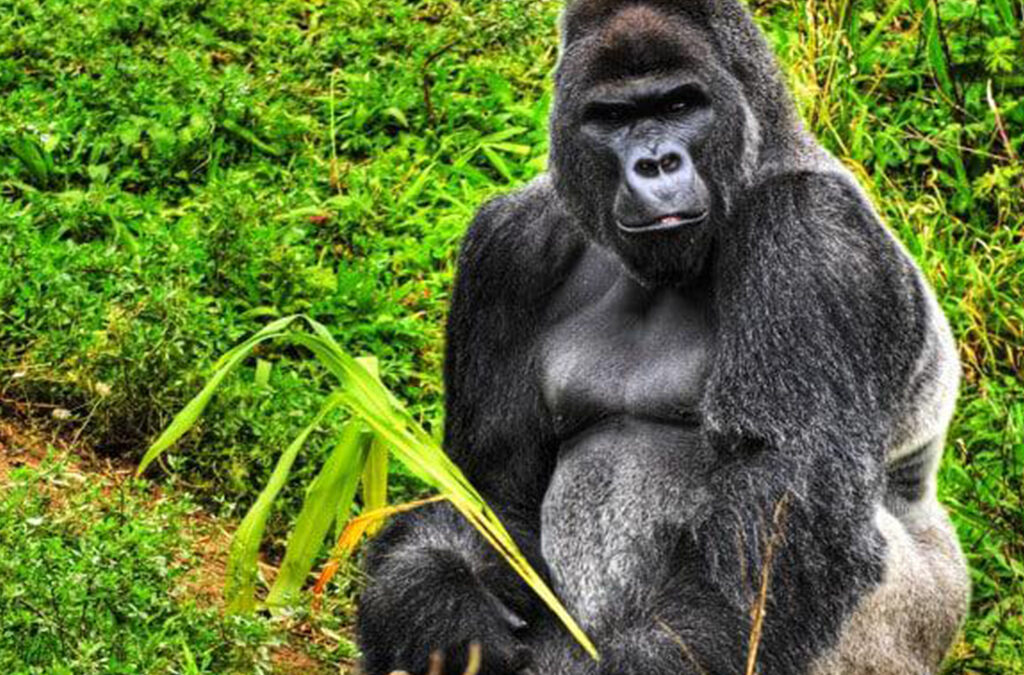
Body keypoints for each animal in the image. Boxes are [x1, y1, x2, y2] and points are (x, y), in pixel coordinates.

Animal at [356, 1, 969, 673]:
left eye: (680, 104)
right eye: (613, 117)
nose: (655, 163)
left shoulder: (812, 234)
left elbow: (779, 522)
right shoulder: (509, 246)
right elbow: (491, 489)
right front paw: (434, 600)